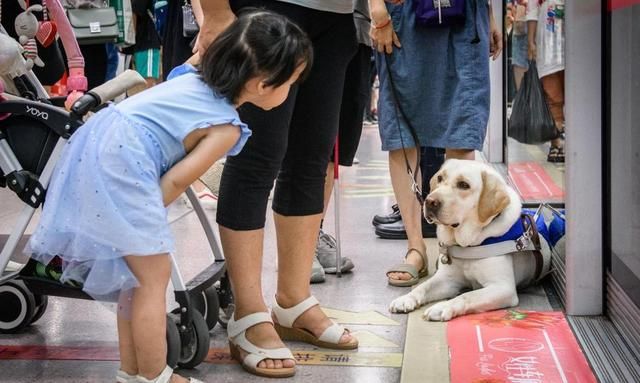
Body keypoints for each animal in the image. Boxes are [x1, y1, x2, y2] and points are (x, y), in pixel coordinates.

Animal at [388, 159, 552, 320]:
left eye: (463, 185)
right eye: (440, 178)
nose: (429, 201)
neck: (468, 244)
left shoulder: (502, 287)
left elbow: (468, 296)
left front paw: (442, 307)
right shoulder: (447, 279)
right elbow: (424, 286)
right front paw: (406, 298)